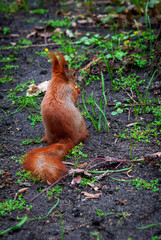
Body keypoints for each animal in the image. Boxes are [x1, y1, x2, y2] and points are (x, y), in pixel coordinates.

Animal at [23, 51, 88, 183]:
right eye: (73, 73)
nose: (76, 73)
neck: (58, 81)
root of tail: (66, 139)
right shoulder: (69, 90)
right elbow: (75, 97)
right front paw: (78, 89)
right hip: (81, 124)